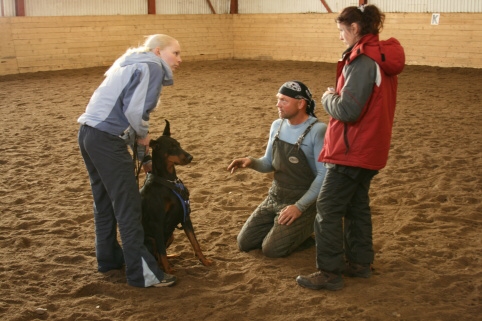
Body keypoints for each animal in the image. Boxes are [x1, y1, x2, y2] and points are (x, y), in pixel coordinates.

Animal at [141, 120, 213, 272]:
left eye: (178, 144)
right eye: (171, 147)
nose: (190, 157)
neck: (169, 181)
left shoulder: (185, 216)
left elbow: (195, 242)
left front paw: (204, 261)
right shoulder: (157, 222)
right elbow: (161, 251)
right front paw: (169, 270)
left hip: (171, 235)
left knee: (159, 255)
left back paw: (172, 257)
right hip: (150, 239)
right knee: (155, 256)